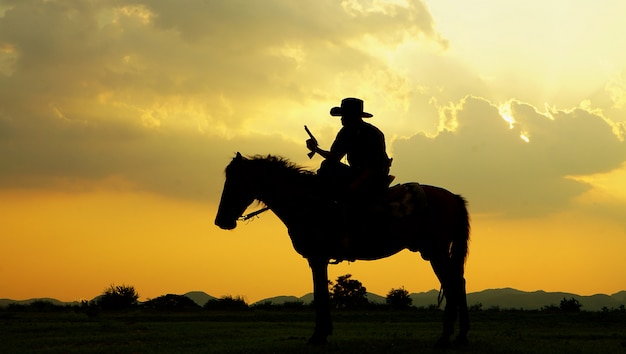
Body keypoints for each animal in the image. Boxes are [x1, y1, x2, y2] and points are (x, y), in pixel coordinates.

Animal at [214, 153, 468, 346]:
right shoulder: (316, 259)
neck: (308, 204)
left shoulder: (318, 257)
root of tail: (452, 197)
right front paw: (322, 334)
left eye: (235, 182)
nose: (221, 220)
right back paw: (458, 337)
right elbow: (321, 293)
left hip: (436, 252)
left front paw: (318, 336)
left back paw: (446, 337)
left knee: (453, 284)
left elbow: (320, 294)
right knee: (457, 282)